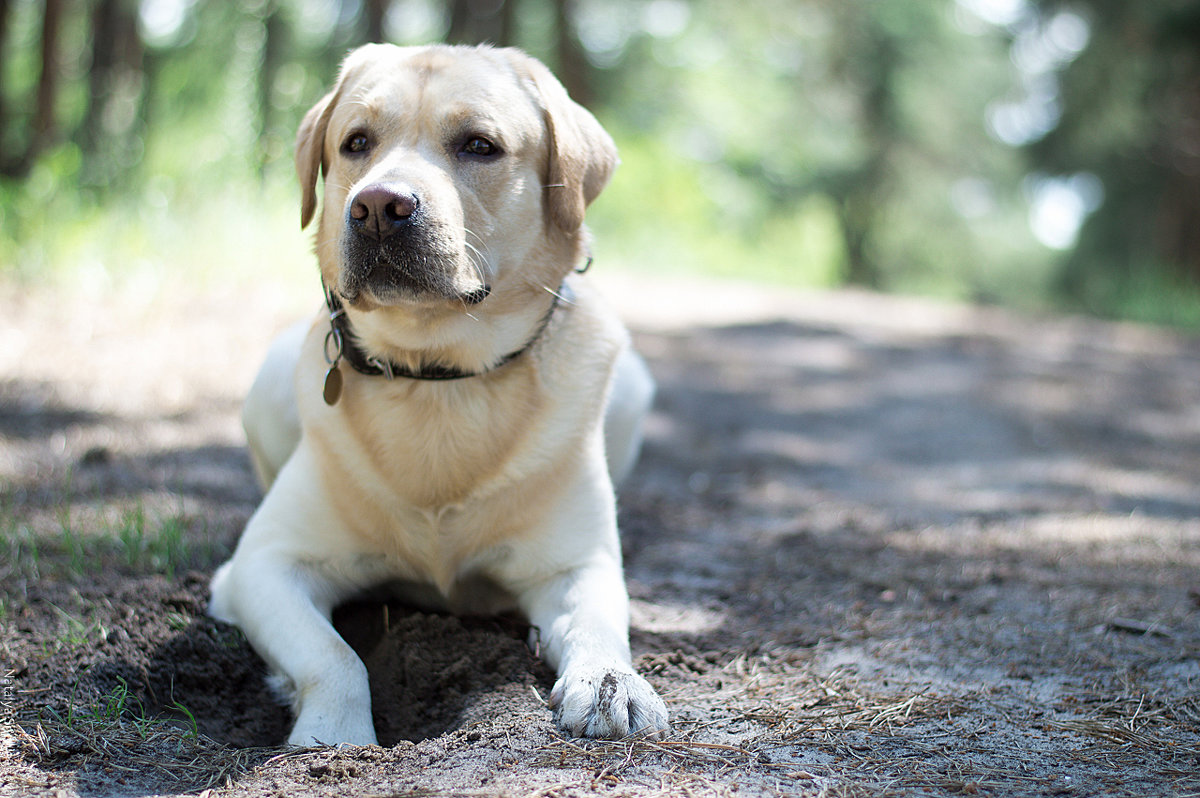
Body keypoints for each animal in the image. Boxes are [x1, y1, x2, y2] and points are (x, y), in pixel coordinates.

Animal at [211, 42, 672, 739]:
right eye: (356, 142)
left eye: (480, 146)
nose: (378, 206)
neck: (435, 378)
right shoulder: (265, 565)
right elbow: (334, 658)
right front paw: (333, 736)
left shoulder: (575, 565)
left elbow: (599, 623)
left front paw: (609, 682)